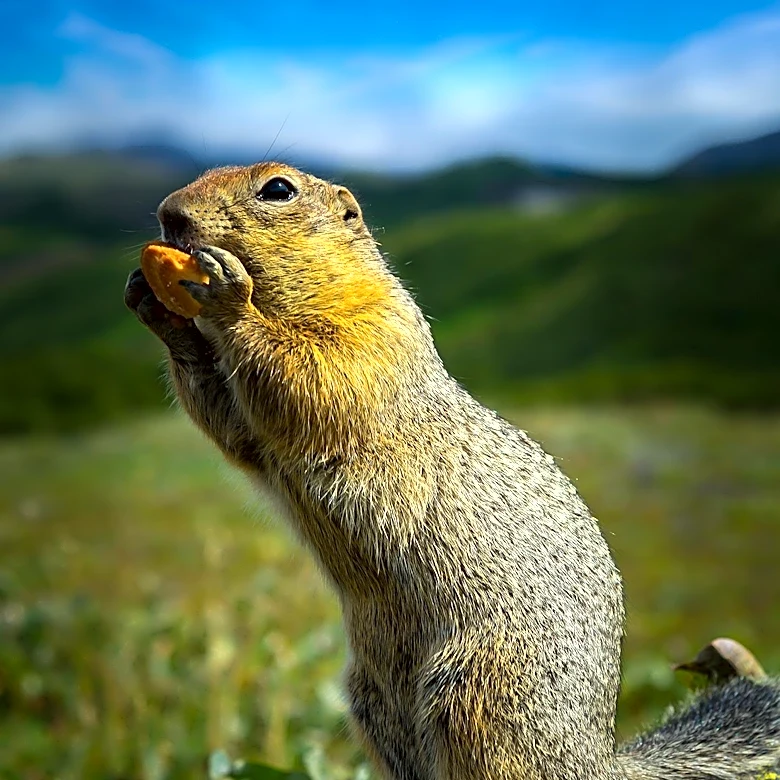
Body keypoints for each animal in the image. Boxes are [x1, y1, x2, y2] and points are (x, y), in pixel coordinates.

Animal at [124, 162, 780, 780]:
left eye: (278, 189)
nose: (168, 213)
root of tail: (595, 761)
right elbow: (232, 425)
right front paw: (156, 309)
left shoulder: (373, 334)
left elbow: (307, 371)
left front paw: (227, 295)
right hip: (375, 705)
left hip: (484, 694)